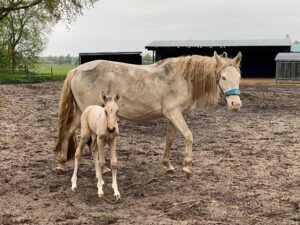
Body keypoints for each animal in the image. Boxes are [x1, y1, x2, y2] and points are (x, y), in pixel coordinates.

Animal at [54, 51, 241, 178]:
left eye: (239, 76)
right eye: (223, 77)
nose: (236, 104)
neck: (183, 78)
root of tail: (77, 70)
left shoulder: (173, 116)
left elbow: (170, 139)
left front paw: (167, 164)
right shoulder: (174, 113)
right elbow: (189, 136)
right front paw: (187, 167)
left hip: (81, 113)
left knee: (68, 131)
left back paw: (62, 163)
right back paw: (101, 168)